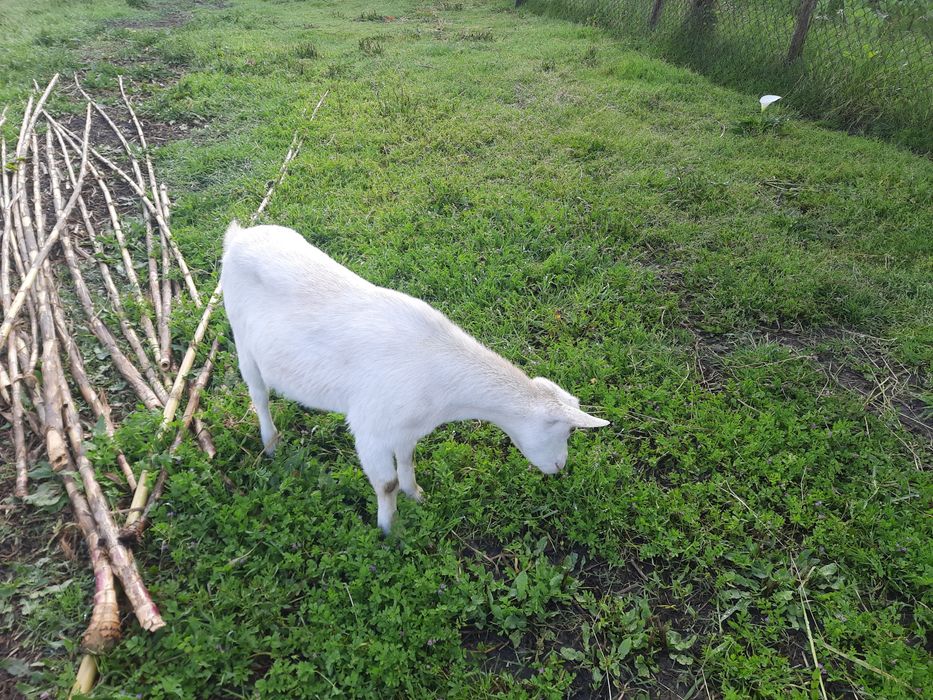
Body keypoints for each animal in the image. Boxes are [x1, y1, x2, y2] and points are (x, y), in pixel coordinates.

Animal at [220, 221, 609, 532]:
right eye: (568, 430)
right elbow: (386, 484)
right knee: (258, 394)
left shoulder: (406, 427)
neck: (440, 378)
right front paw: (388, 531)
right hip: (242, 340)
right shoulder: (370, 429)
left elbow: (408, 461)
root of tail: (237, 235)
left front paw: (417, 495)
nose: (560, 467)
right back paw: (270, 442)